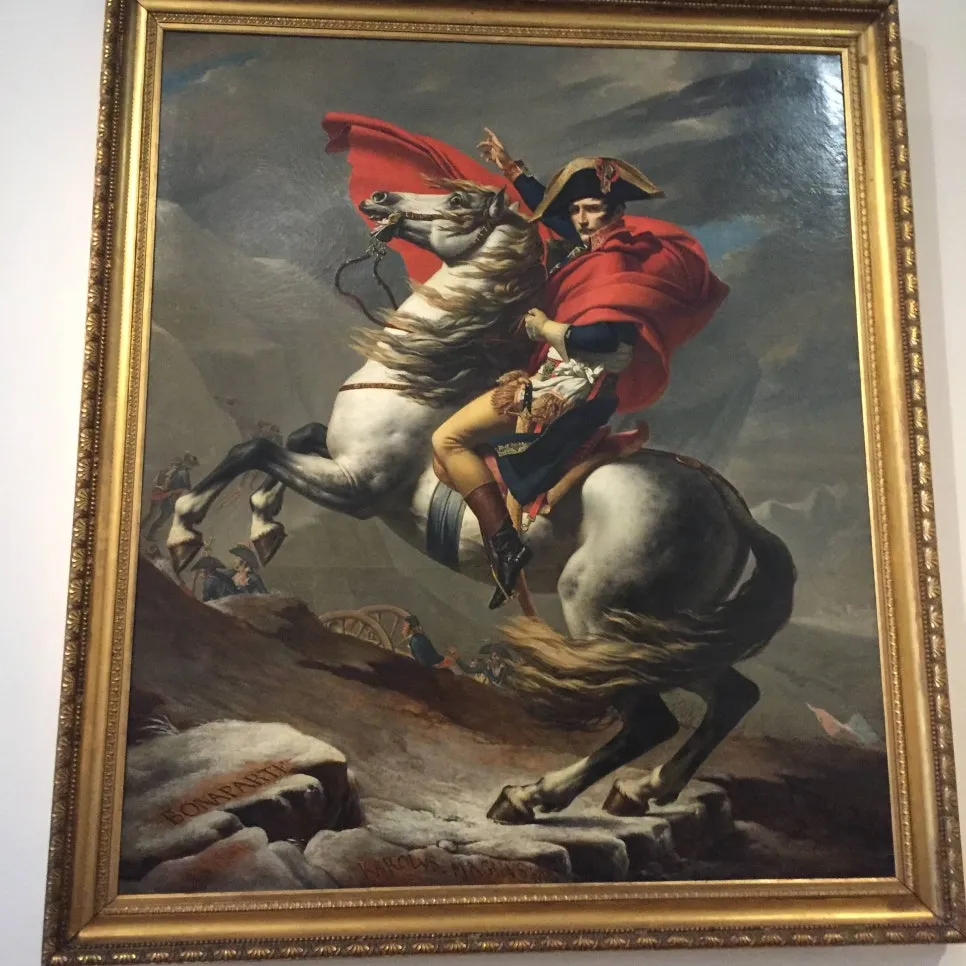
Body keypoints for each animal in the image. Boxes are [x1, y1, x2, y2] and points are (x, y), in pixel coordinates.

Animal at [166, 179, 796, 824]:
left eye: (457, 202)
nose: (380, 196)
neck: (419, 384)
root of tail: (723, 501)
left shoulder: (356, 486)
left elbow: (255, 446)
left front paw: (185, 531)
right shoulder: (338, 459)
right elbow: (295, 436)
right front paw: (264, 524)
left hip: (601, 615)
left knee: (650, 721)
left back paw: (532, 796)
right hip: (667, 633)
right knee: (732, 696)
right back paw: (645, 790)